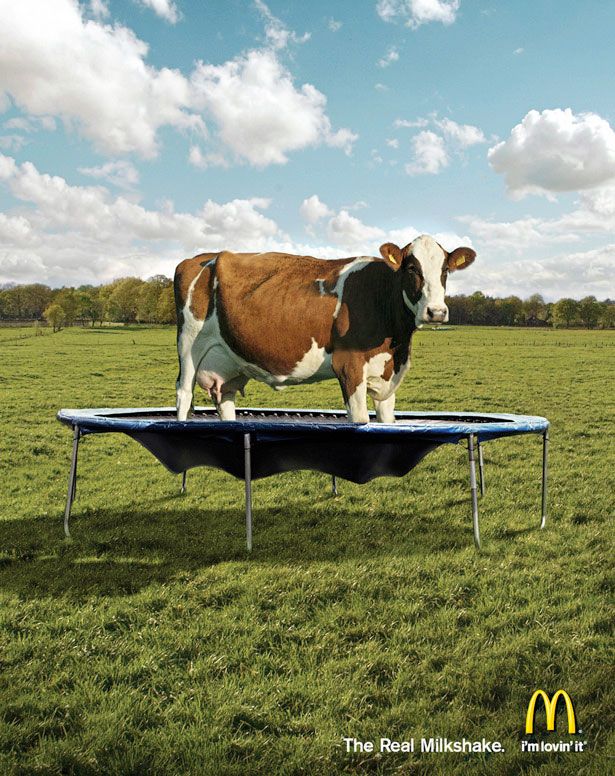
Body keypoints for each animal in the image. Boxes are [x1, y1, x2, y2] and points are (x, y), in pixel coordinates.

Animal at [173, 235, 475, 424]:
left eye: (445, 270)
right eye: (412, 268)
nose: (436, 312)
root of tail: (200, 258)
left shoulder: (388, 374)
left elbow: (386, 419)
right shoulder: (349, 366)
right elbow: (360, 420)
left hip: (228, 362)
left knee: (225, 399)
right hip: (189, 345)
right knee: (184, 394)